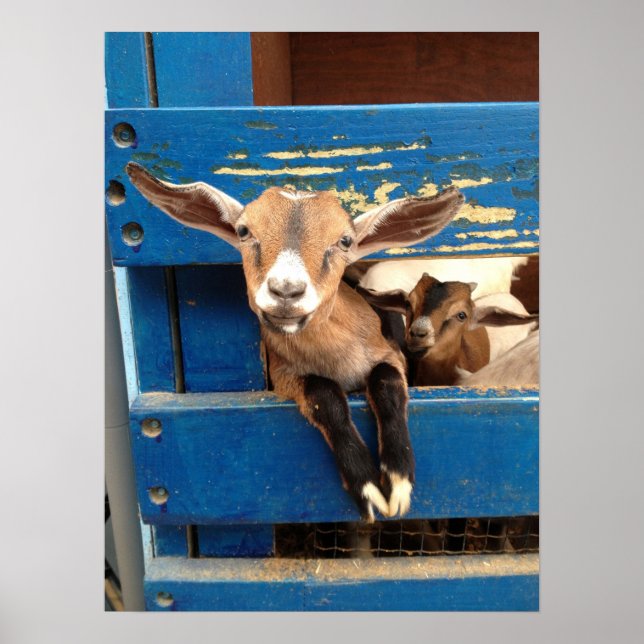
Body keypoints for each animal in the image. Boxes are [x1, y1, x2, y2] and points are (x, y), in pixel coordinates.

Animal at [125, 163, 465, 521]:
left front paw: (398, 479)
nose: (286, 290)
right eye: (243, 231)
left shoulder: (391, 354)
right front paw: (369, 487)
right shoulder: (283, 375)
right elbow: (323, 395)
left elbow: (386, 383)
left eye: (345, 240)